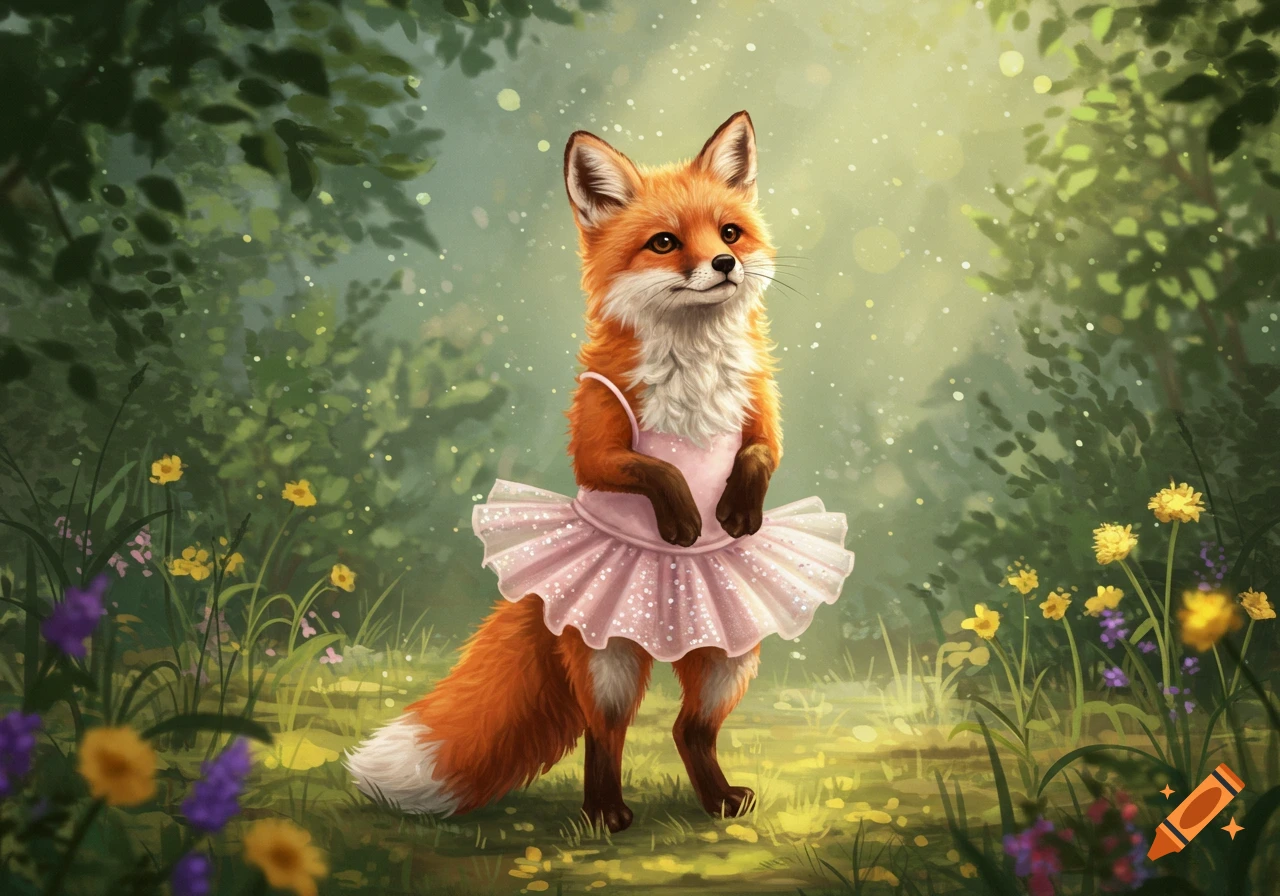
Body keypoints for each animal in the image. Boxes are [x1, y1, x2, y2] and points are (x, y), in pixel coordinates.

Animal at [346, 111, 853, 832]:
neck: (694, 371)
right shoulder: (597, 440)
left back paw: (718, 801)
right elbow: (651, 468)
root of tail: (666, 646)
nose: (725, 264)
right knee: (604, 733)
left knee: (688, 731)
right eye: (665, 243)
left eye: (729, 232)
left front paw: (736, 511)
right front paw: (684, 518)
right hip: (610, 662)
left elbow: (760, 455)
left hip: (727, 659)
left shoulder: (762, 413)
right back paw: (605, 812)